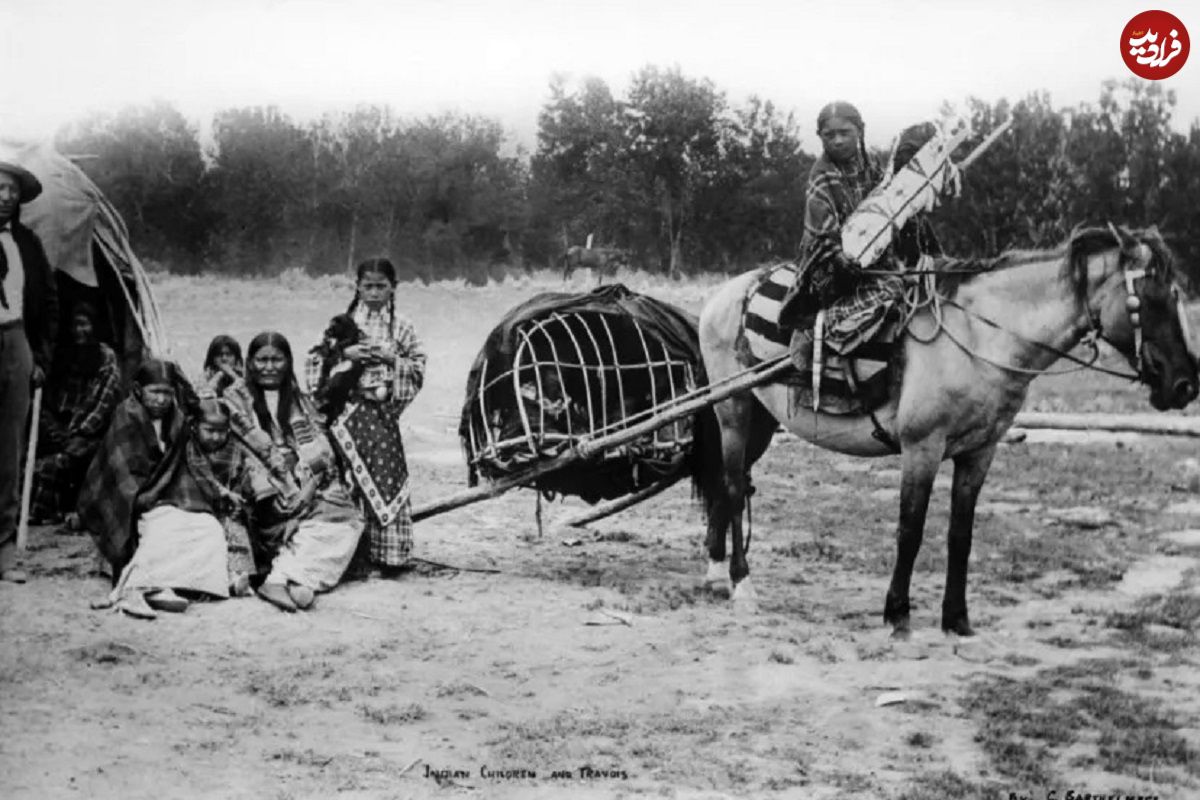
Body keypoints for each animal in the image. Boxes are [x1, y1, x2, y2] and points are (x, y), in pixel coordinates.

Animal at [696, 226, 1200, 638]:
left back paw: (715, 571)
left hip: (761, 419)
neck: (980, 338)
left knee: (726, 486)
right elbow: (911, 529)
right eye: (1148, 299)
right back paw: (741, 582)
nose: (1185, 384)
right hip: (733, 410)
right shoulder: (923, 447)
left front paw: (956, 617)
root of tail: (722, 295)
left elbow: (961, 534)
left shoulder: (979, 452)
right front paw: (897, 613)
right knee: (734, 487)